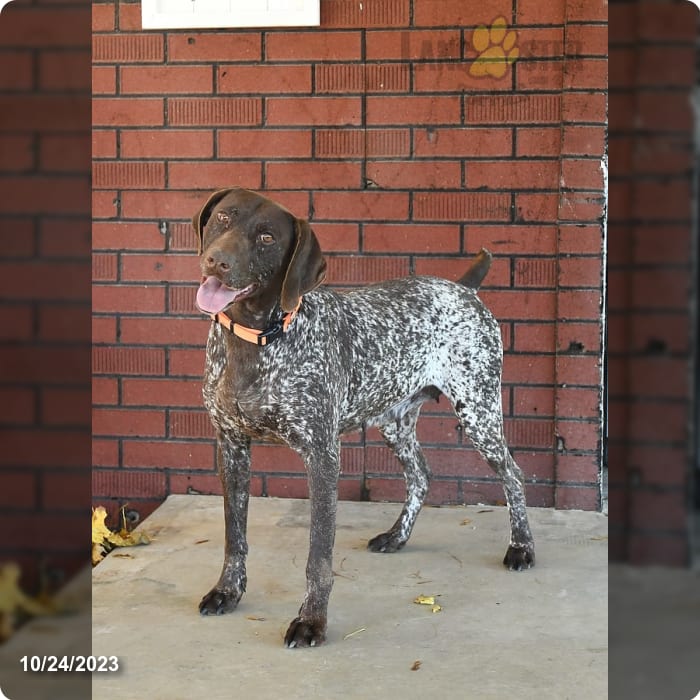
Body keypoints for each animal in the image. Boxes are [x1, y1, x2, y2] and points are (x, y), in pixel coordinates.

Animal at [189, 189, 532, 648]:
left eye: (266, 237)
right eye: (224, 217)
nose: (217, 260)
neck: (257, 339)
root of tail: (462, 287)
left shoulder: (322, 456)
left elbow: (319, 556)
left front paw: (312, 620)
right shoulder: (230, 448)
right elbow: (234, 537)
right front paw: (227, 591)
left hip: (479, 410)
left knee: (512, 473)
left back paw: (522, 548)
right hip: (395, 421)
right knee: (420, 474)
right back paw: (397, 536)